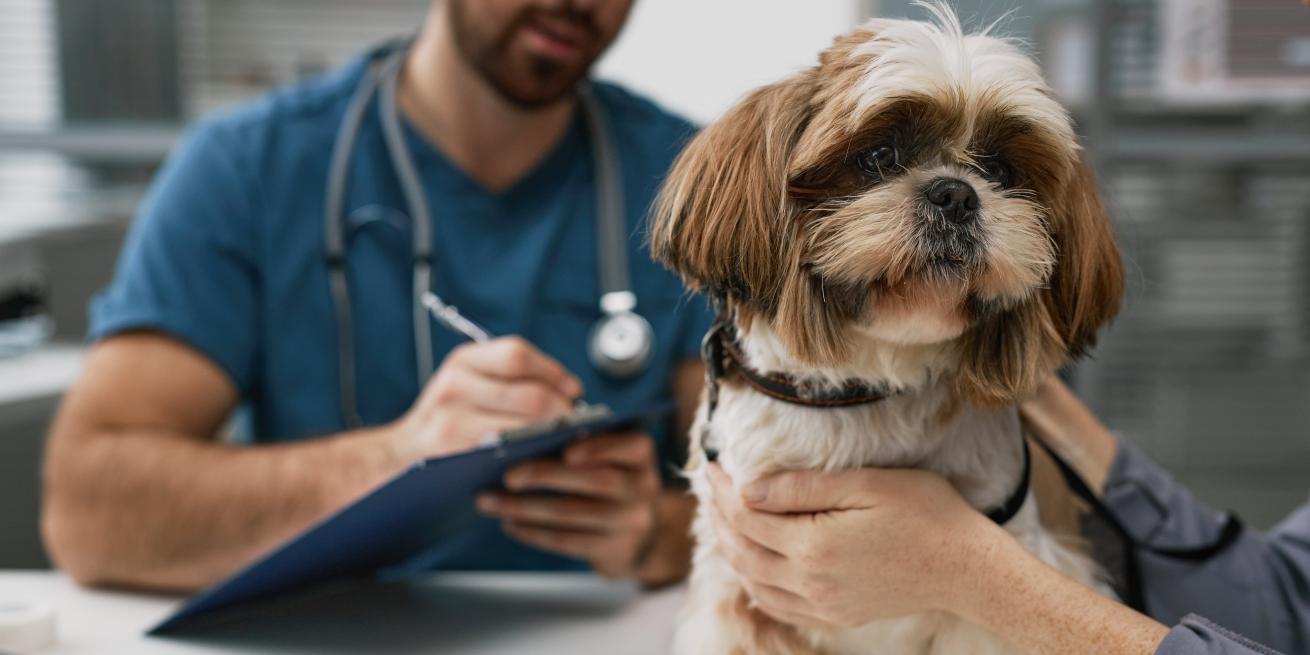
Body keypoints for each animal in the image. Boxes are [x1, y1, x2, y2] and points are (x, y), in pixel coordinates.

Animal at [655, 5, 1126, 655]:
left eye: (1000, 169)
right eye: (878, 157)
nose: (956, 193)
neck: (870, 386)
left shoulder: (988, 609)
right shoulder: (735, 592)